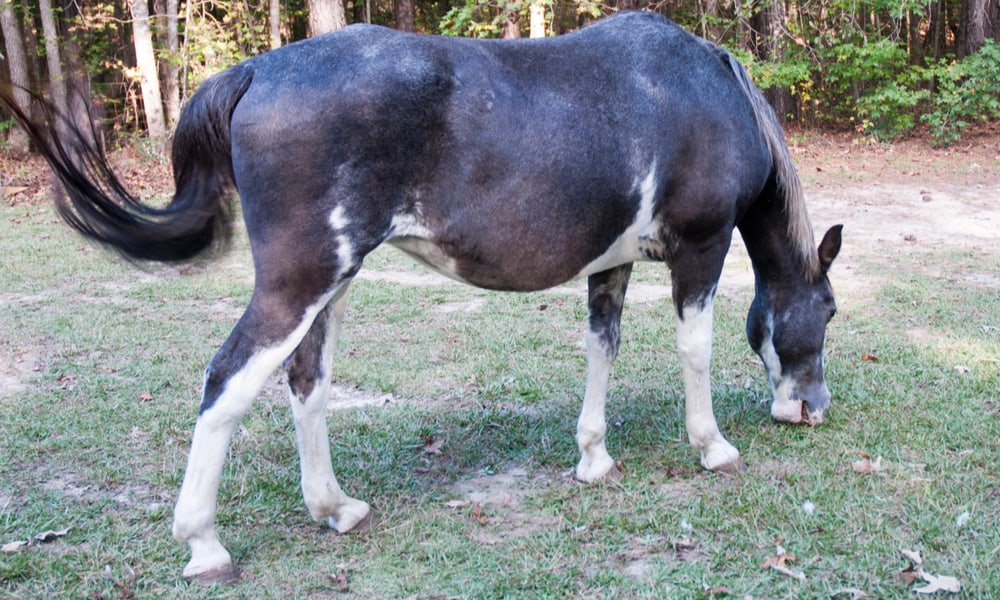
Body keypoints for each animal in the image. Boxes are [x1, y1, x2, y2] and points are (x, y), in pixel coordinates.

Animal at [1, 11, 842, 583]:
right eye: (829, 311)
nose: (811, 408)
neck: (704, 91)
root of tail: (256, 72)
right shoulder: (700, 247)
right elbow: (693, 349)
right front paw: (712, 446)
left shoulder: (613, 264)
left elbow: (602, 348)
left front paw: (594, 458)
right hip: (299, 281)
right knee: (227, 383)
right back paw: (204, 544)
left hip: (330, 283)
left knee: (307, 381)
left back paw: (334, 507)